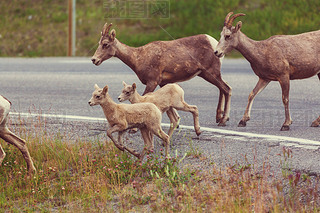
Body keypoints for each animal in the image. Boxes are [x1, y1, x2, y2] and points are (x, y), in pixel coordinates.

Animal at [91, 22, 231, 126]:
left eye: (105, 44)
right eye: (99, 43)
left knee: (226, 88)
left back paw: (223, 120)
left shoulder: (152, 81)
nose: (94, 59)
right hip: (206, 74)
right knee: (222, 88)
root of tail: (215, 45)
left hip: (211, 72)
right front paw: (177, 122)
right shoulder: (163, 82)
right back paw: (219, 118)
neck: (138, 58)